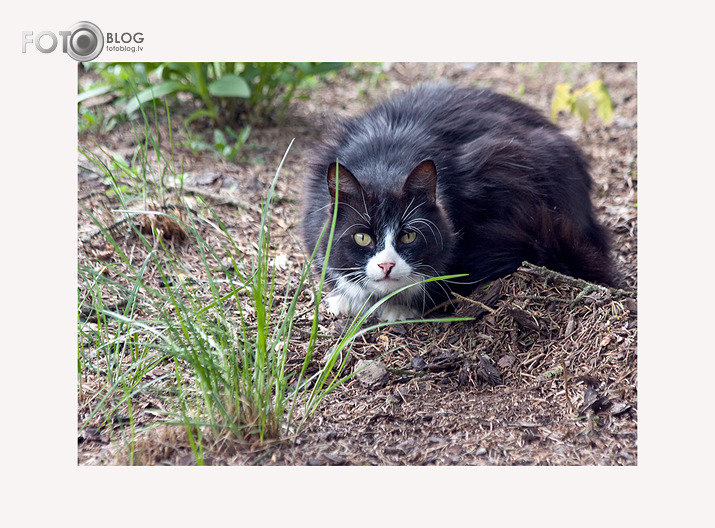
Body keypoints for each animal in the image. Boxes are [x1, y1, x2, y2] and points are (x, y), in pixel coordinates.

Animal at [302, 83, 616, 322]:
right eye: (362, 238)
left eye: (408, 236)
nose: (386, 266)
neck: (384, 161)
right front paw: (343, 298)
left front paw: (396, 308)